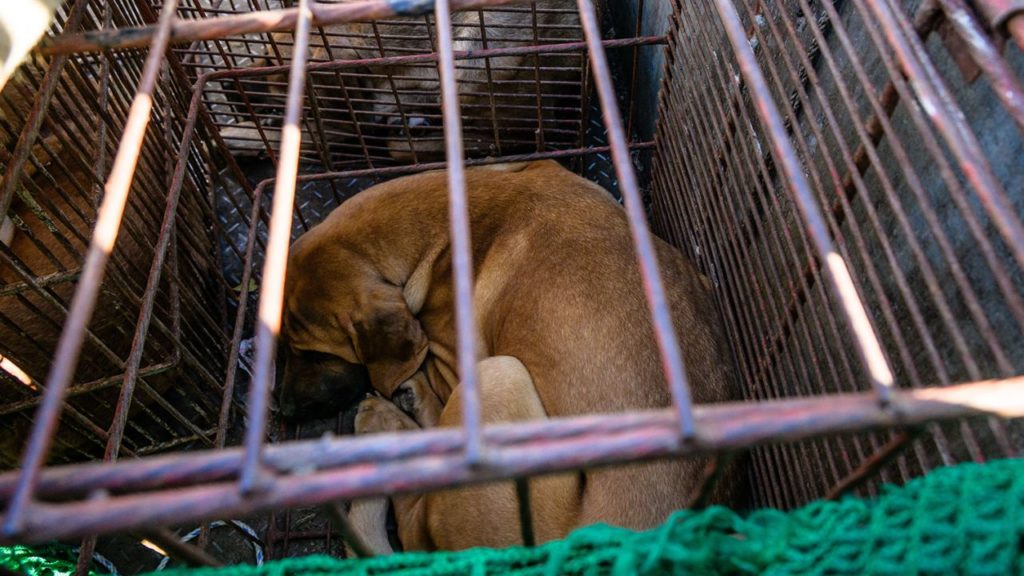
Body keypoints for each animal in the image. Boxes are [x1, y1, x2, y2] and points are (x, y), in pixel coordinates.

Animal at [274, 158, 737, 549]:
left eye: (314, 355)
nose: (285, 410)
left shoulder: (455, 359)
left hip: (498, 375)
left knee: (414, 519)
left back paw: (389, 421)